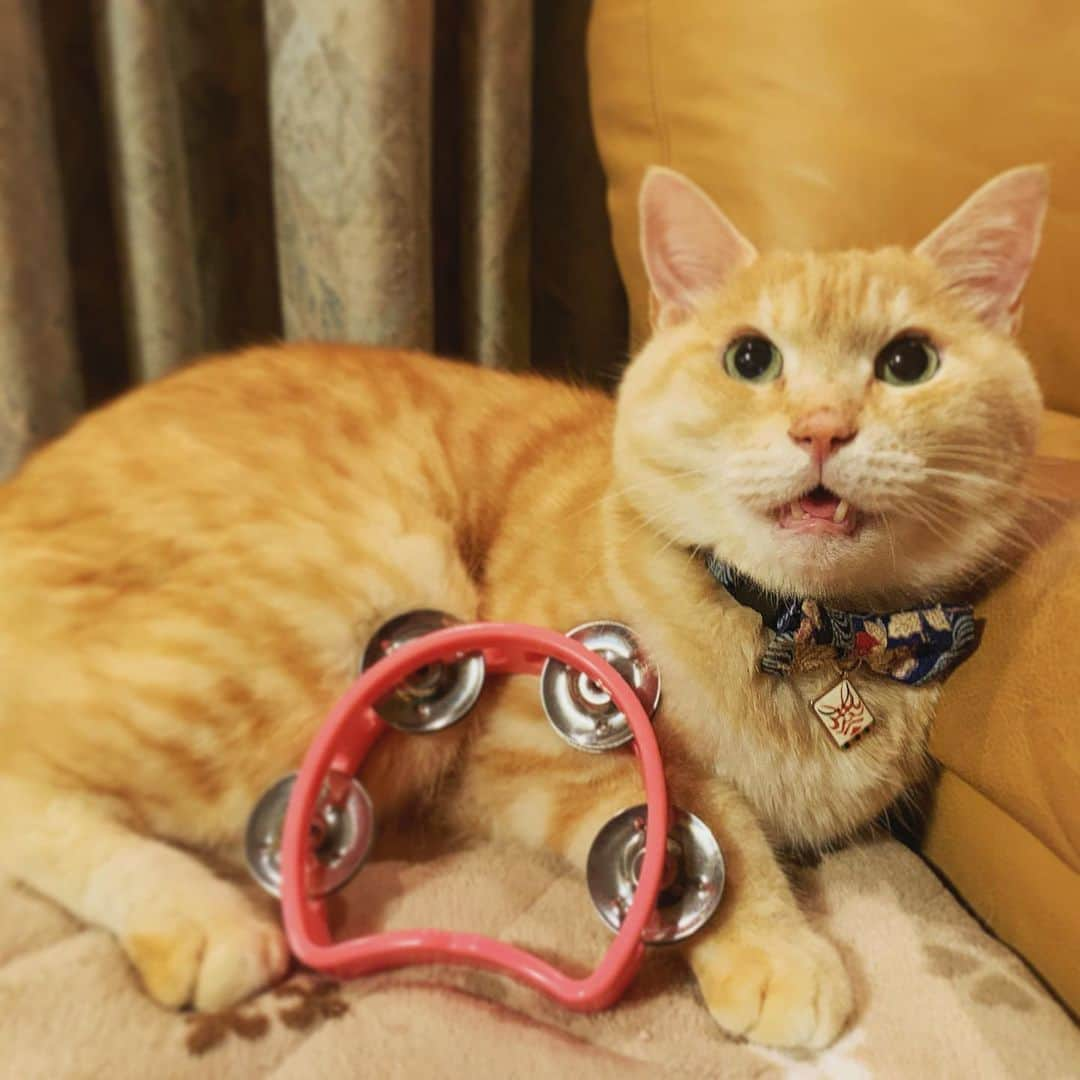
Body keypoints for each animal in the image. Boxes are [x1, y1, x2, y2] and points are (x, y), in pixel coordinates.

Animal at [0, 166, 1049, 1045]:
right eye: (751, 358)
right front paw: (777, 951)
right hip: (363, 594)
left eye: (908, 363)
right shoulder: (529, 748)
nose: (823, 428)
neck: (801, 630)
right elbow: (707, 821)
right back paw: (195, 915)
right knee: (25, 774)